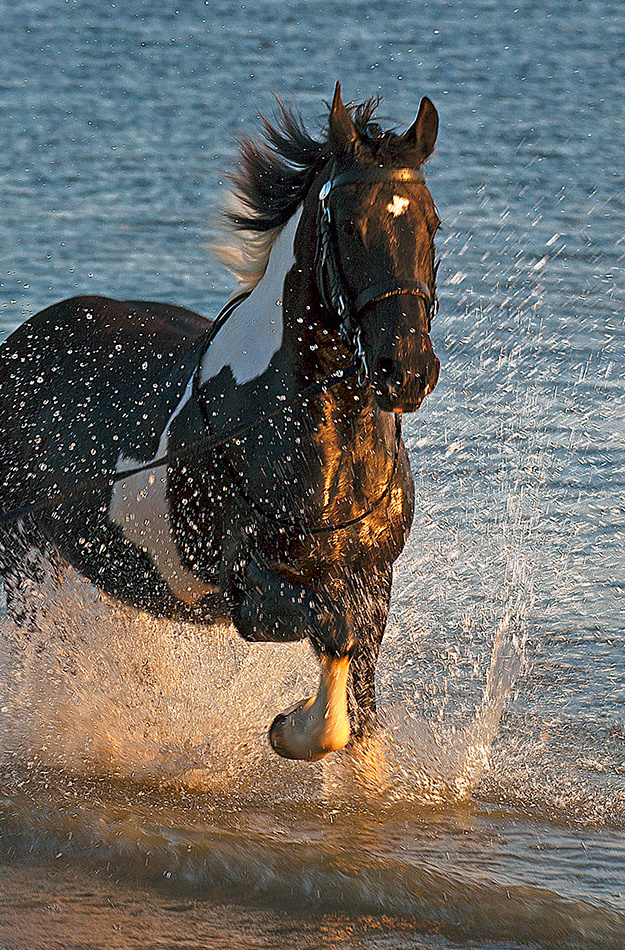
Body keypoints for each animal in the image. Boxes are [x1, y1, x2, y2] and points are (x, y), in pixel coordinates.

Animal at [0, 84, 440, 762]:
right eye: (348, 224)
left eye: (431, 222)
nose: (408, 369)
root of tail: (19, 342)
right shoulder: (252, 590)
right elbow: (332, 641)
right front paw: (292, 728)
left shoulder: (373, 579)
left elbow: (362, 707)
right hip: (20, 563)